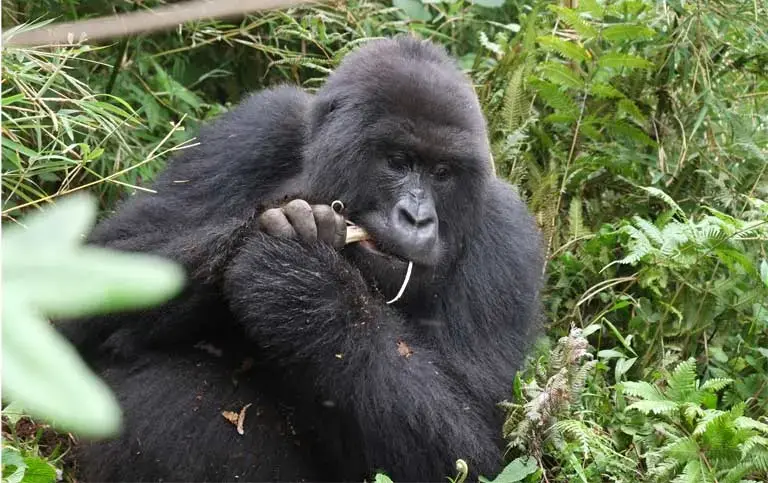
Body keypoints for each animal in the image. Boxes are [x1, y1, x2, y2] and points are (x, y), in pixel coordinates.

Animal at [63, 36, 544, 482]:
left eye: (443, 173)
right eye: (397, 161)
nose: (418, 218)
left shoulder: (509, 239)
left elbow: (474, 450)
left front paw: (306, 287)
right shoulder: (259, 124)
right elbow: (107, 260)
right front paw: (268, 231)